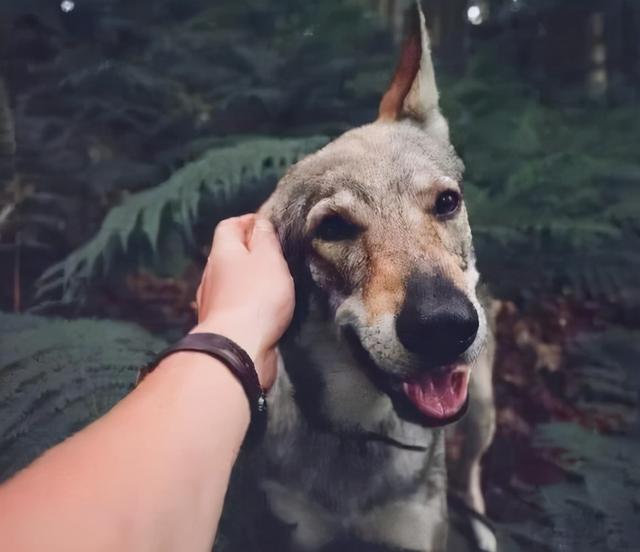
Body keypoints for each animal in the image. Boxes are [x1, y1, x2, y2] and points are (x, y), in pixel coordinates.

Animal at [217, 4, 496, 551]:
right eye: (333, 228)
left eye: (446, 202)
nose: (444, 325)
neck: (358, 435)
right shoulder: (295, 533)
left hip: (480, 407)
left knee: (473, 479)